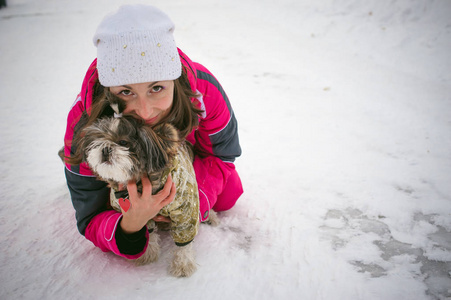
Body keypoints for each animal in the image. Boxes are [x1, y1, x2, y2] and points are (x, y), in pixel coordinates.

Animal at [77, 91, 205, 276]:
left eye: (123, 142)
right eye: (97, 140)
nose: (105, 149)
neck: (139, 181)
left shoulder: (186, 209)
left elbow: (184, 242)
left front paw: (183, 264)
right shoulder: (141, 214)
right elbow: (148, 232)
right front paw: (148, 253)